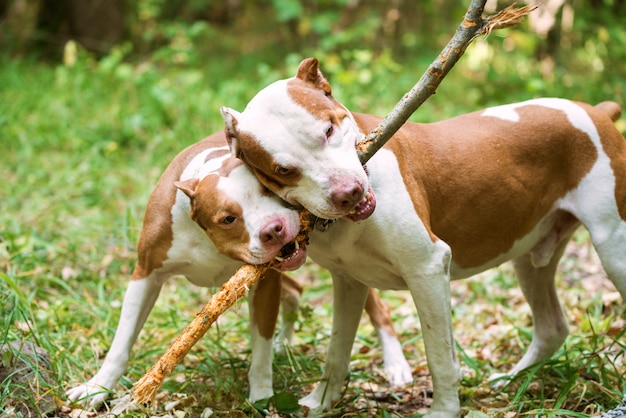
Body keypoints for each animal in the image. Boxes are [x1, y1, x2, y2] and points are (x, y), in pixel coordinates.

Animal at [66, 131, 412, 408]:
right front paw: (96, 388)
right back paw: (285, 341)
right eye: (228, 218)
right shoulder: (146, 273)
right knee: (296, 291)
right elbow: (121, 342)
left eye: (268, 190)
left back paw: (395, 364)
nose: (273, 229)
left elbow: (259, 348)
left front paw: (260, 397)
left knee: (376, 306)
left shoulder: (263, 283)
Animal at [217, 57, 620, 416]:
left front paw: (443, 411)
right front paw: (321, 403)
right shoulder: (348, 283)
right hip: (530, 259)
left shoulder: (426, 270)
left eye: (328, 130)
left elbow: (439, 355)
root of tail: (596, 111)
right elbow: (337, 352)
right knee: (551, 326)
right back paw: (512, 380)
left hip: (613, 247)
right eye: (283, 170)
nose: (348, 193)